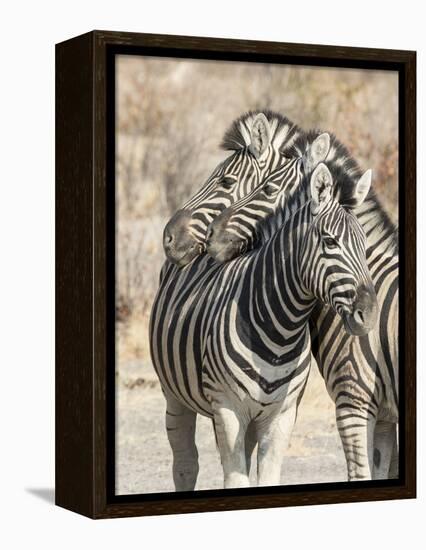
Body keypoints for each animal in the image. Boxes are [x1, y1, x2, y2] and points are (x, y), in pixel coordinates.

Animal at [150, 164, 376, 492]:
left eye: (364, 246)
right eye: (330, 242)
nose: (369, 314)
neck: (281, 329)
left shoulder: (282, 414)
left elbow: (265, 477)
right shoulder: (227, 408)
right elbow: (234, 480)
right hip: (175, 395)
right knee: (185, 463)